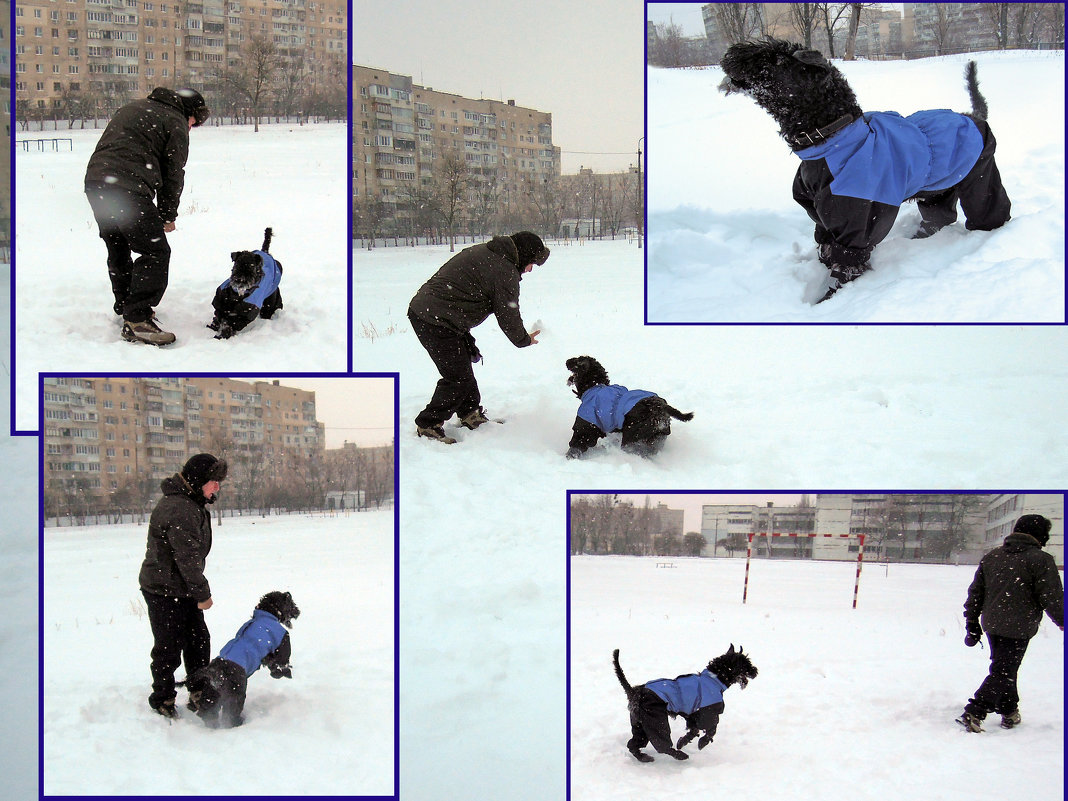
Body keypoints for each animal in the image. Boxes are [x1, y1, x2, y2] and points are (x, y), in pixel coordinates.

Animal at [184, 589, 299, 726]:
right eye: (290, 602)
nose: (298, 611)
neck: (267, 614)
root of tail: (215, 671)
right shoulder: (282, 643)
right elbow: (282, 663)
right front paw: (285, 673)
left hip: (210, 697)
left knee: (208, 714)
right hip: (237, 694)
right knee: (231, 713)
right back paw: (238, 723)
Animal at [610, 645, 760, 764]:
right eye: (746, 664)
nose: (755, 671)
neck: (715, 679)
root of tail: (634, 692)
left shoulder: (691, 715)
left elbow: (693, 730)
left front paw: (683, 741)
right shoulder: (708, 713)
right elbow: (711, 730)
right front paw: (701, 743)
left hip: (640, 724)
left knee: (633, 744)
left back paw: (644, 758)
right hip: (656, 721)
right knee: (662, 745)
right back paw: (680, 755)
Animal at [717, 36, 1008, 303]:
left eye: (778, 58)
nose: (732, 52)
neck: (830, 140)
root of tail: (974, 116)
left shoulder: (856, 227)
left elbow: (844, 267)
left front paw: (828, 302)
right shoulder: (823, 221)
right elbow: (826, 253)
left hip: (980, 179)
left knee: (989, 210)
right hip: (940, 190)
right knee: (939, 218)